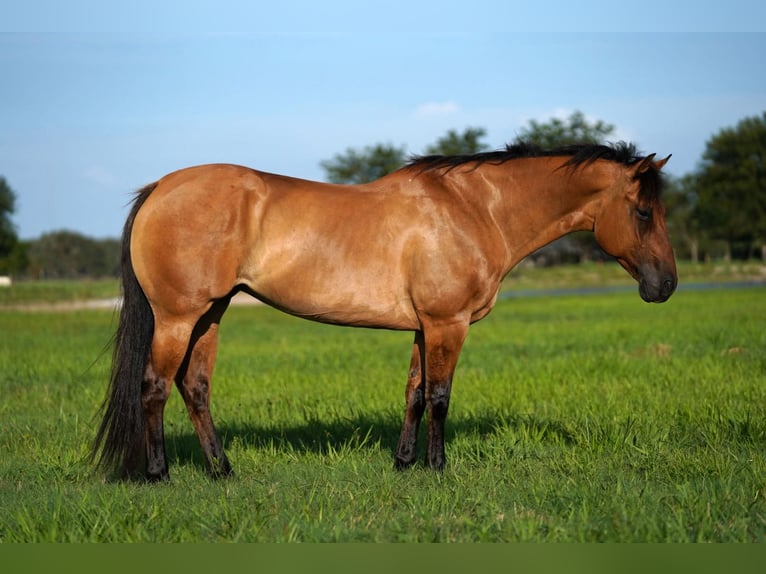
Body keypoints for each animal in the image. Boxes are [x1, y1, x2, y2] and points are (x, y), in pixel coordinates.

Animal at [91, 141, 680, 482]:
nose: (666, 285)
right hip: (178, 317)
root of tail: (160, 188)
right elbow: (440, 396)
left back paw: (222, 471)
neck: (474, 209)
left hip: (210, 315)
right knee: (154, 387)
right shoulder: (448, 324)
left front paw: (404, 464)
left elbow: (415, 392)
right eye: (643, 211)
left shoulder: (425, 327)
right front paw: (438, 469)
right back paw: (160, 475)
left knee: (195, 388)